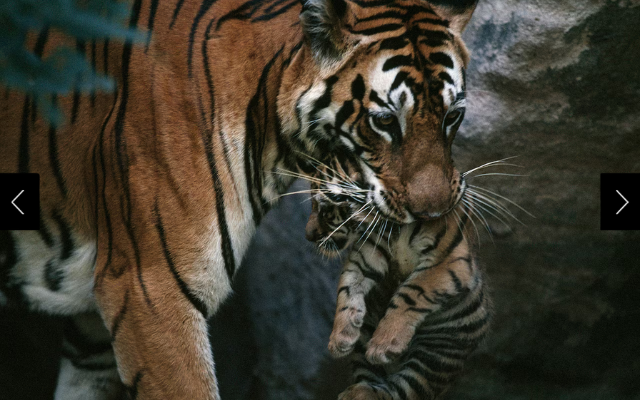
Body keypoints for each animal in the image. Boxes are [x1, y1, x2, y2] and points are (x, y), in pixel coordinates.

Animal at [304, 155, 490, 400]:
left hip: (438, 354)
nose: (308, 235)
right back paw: (358, 390)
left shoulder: (447, 260)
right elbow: (347, 287)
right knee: (371, 375)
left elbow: (411, 293)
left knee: (405, 388)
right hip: (364, 350)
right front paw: (340, 337)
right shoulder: (367, 256)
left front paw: (384, 344)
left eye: (325, 211)